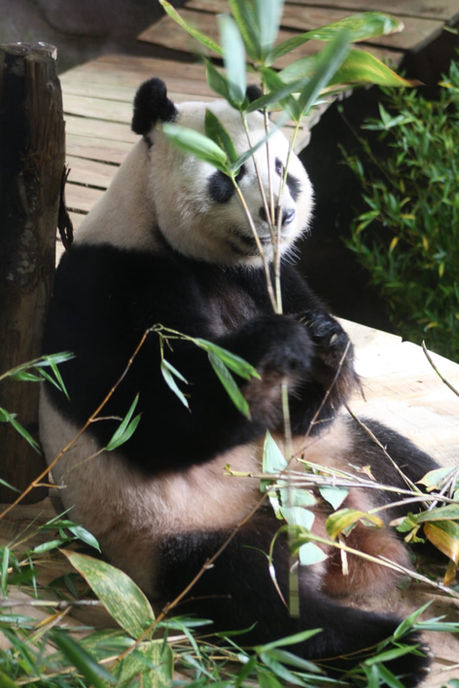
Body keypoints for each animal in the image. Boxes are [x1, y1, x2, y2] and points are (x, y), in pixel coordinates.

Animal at [39, 77, 436, 685]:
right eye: (230, 175)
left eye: (284, 169)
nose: (280, 213)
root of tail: (332, 533)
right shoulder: (114, 279)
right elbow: (156, 414)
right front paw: (274, 345)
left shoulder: (273, 276)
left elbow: (313, 400)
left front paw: (323, 341)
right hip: (180, 532)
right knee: (261, 599)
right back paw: (390, 649)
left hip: (347, 456)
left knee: (415, 474)